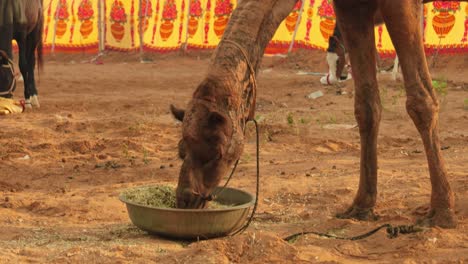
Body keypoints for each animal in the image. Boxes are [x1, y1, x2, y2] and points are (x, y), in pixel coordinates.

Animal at [171, 0, 460, 229]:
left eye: (217, 152)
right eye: (181, 150)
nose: (185, 197)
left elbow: (421, 100)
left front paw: (442, 212)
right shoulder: (351, 8)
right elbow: (366, 106)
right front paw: (361, 206)